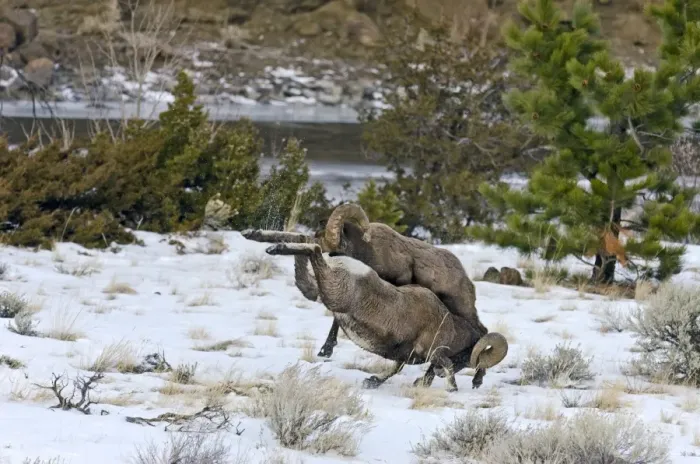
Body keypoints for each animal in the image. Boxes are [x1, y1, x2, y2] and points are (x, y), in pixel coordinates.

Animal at [242, 203, 487, 372]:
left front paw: (325, 350)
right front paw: (254, 235)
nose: (325, 250)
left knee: (480, 334)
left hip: (462, 311)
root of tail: (467, 281)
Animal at [264, 241, 508, 391]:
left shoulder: (404, 357)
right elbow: (445, 363)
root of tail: (345, 263)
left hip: (320, 290)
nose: (438, 375)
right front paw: (452, 388)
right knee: (314, 249)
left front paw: (372, 382)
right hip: (333, 293)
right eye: (466, 358)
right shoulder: (435, 353)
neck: (448, 326)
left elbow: (394, 370)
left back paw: (273, 246)